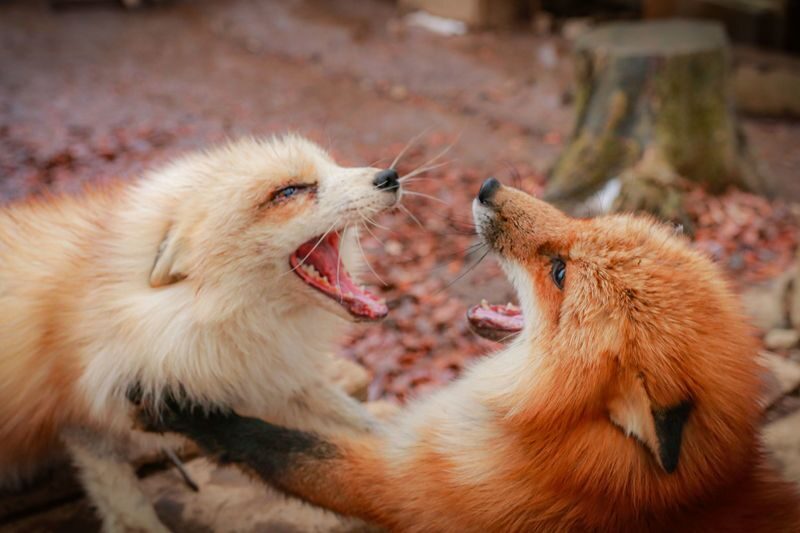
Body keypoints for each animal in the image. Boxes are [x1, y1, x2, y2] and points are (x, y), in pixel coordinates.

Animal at [0, 135, 402, 532]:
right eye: (289, 191)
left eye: (333, 166)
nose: (390, 177)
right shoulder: (83, 414)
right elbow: (126, 503)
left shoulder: (265, 375)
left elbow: (367, 432)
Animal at [135, 177, 800, 532]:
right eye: (584, 225)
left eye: (560, 272)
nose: (487, 187)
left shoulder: (404, 489)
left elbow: (276, 443)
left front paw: (180, 410)